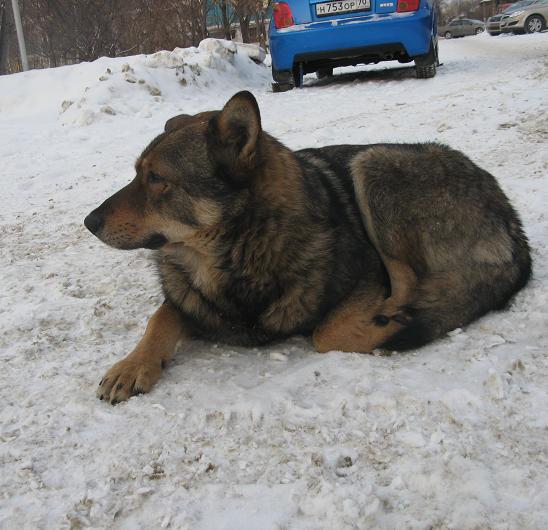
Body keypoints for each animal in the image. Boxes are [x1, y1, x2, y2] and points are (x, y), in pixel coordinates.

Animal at [84, 92, 532, 404]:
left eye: (156, 178)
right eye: (136, 174)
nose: (89, 222)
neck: (238, 257)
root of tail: (510, 218)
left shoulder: (368, 276)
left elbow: (326, 332)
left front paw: (379, 325)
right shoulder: (190, 300)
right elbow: (159, 318)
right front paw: (132, 365)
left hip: (372, 167)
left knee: (407, 286)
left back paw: (400, 317)